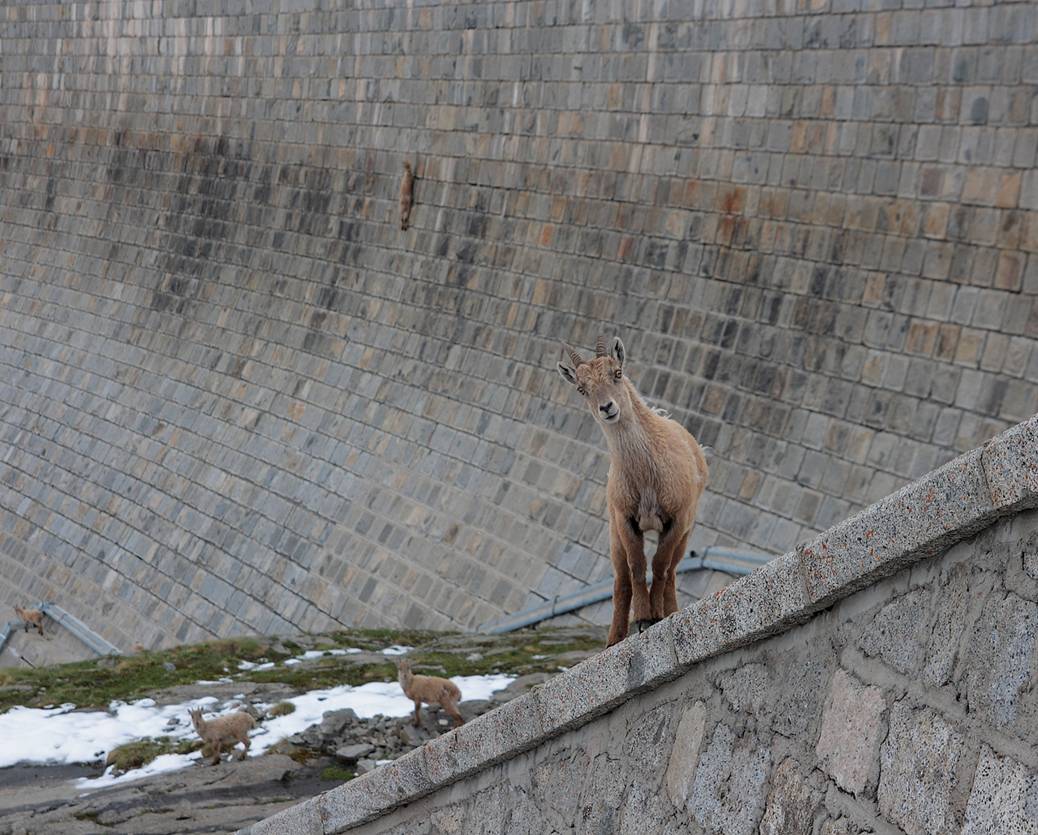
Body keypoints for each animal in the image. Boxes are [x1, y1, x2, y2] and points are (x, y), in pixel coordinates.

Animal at [556, 336, 709, 648]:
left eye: (617, 372)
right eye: (581, 388)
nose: (607, 407)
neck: (646, 475)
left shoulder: (677, 520)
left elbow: (660, 565)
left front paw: (656, 615)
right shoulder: (625, 519)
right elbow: (637, 568)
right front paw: (642, 618)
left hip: (687, 533)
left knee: (672, 571)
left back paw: (669, 610)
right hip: (613, 533)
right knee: (621, 580)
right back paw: (614, 640)